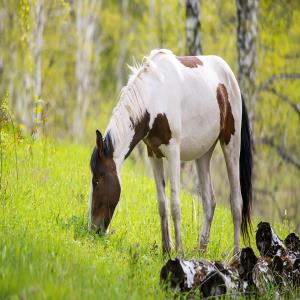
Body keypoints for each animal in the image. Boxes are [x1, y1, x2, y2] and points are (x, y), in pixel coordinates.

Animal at [89, 48, 253, 254]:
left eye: (97, 180)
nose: (93, 228)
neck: (155, 96)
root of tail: (231, 79)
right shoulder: (153, 154)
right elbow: (162, 204)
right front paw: (166, 249)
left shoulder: (174, 153)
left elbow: (175, 204)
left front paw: (179, 251)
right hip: (203, 153)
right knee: (209, 202)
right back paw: (200, 250)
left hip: (231, 144)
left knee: (236, 202)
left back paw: (235, 254)